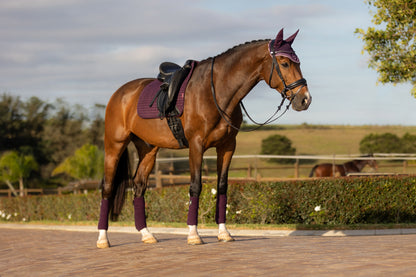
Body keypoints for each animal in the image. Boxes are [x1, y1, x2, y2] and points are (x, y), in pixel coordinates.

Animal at [96, 29, 312, 247]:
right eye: (284, 63)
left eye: (298, 63)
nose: (305, 99)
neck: (216, 92)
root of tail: (120, 93)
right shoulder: (196, 146)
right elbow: (195, 186)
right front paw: (193, 234)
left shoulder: (227, 146)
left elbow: (222, 186)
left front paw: (224, 233)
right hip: (115, 145)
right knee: (107, 187)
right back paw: (103, 238)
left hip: (148, 150)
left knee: (139, 186)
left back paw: (146, 234)